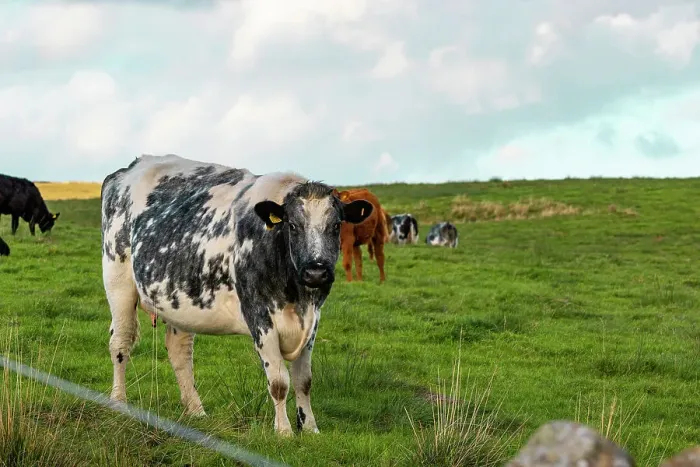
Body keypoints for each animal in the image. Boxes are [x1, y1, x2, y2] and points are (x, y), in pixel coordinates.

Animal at [100, 154, 372, 436]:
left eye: (336, 225)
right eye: (293, 225)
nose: (316, 272)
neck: (296, 297)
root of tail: (131, 167)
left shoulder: (312, 320)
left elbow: (303, 380)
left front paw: (309, 428)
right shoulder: (259, 315)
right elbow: (279, 381)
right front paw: (284, 431)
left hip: (178, 298)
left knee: (179, 350)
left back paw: (196, 410)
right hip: (118, 280)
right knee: (121, 341)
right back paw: (119, 401)